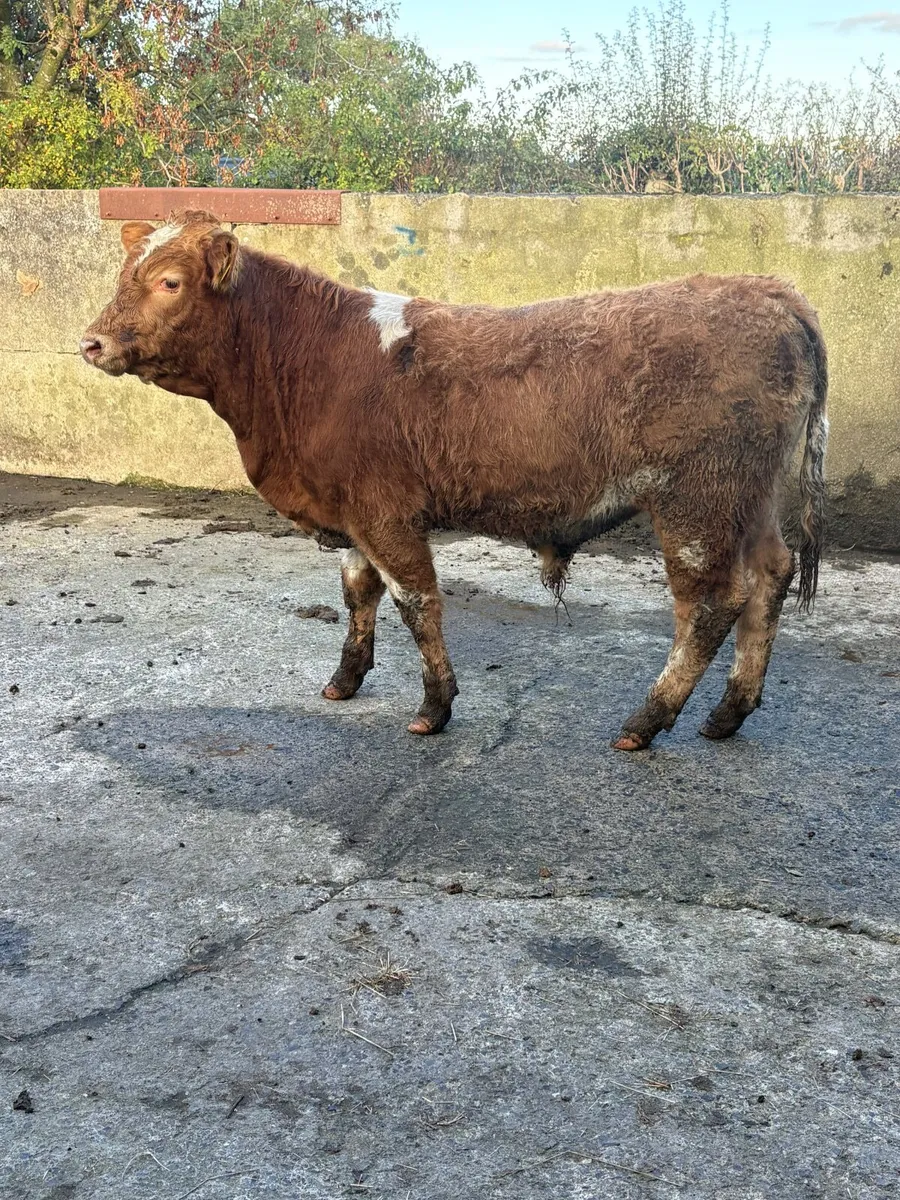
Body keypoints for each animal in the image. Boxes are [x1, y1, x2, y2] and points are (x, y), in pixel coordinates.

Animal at [80, 209, 827, 750]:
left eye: (169, 281)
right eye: (123, 273)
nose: (92, 342)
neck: (310, 357)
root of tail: (769, 289)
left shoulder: (386, 513)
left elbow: (416, 603)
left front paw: (434, 706)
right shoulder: (351, 514)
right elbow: (358, 594)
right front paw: (345, 680)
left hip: (697, 502)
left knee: (710, 603)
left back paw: (646, 720)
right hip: (752, 499)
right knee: (770, 575)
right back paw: (729, 714)